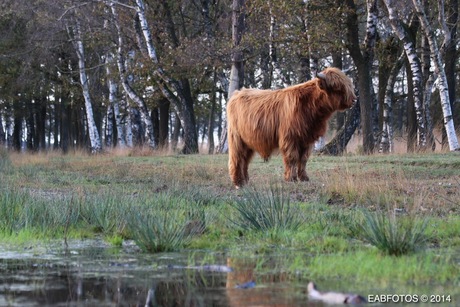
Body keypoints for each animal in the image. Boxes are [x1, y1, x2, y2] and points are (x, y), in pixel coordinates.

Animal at [226, 67, 356, 188]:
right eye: (337, 87)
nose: (354, 100)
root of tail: (237, 93)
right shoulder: (290, 138)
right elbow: (292, 158)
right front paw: (291, 178)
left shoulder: (307, 139)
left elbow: (303, 159)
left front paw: (304, 178)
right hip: (236, 138)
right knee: (236, 158)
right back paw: (238, 182)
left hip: (248, 141)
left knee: (245, 160)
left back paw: (245, 181)